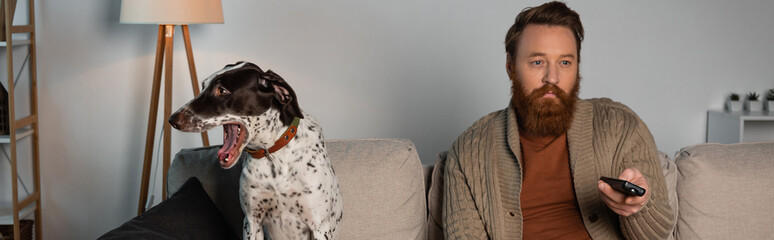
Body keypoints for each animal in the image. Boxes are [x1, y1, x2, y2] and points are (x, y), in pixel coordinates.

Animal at [171, 62, 344, 240]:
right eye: (203, 86)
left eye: (221, 90)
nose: (172, 120)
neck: (273, 155)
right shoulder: (252, 221)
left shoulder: (319, 226)